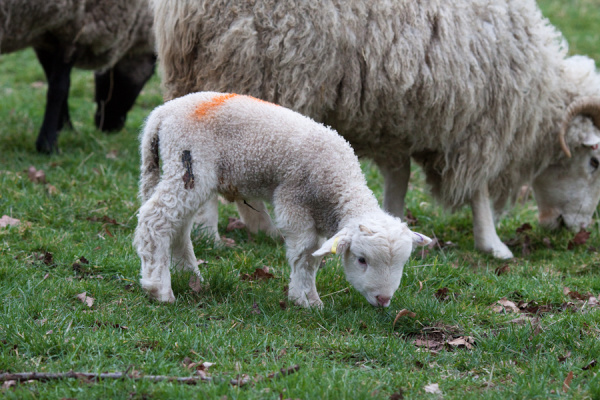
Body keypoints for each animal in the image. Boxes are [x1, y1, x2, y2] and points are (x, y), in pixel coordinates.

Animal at [0, 0, 155, 153]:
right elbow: (59, 89)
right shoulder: (76, 32)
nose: (110, 127)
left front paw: (65, 129)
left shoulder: (47, 38)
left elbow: (55, 84)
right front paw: (48, 144)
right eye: (150, 74)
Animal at [135, 92, 432, 308]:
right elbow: (304, 253)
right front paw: (303, 300)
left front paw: (312, 299)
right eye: (361, 260)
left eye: (403, 263)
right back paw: (159, 289)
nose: (384, 299)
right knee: (155, 219)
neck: (338, 183)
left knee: (179, 226)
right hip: (190, 164)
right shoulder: (294, 200)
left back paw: (190, 277)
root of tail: (162, 114)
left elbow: (313, 256)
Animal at [150, 0, 600, 260]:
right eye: (594, 162)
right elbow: (479, 194)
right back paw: (216, 234)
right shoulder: (476, 125)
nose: (577, 231)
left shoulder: (398, 121)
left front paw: (397, 224)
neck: (536, 96)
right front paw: (494, 245)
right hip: (256, 70)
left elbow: (398, 180)